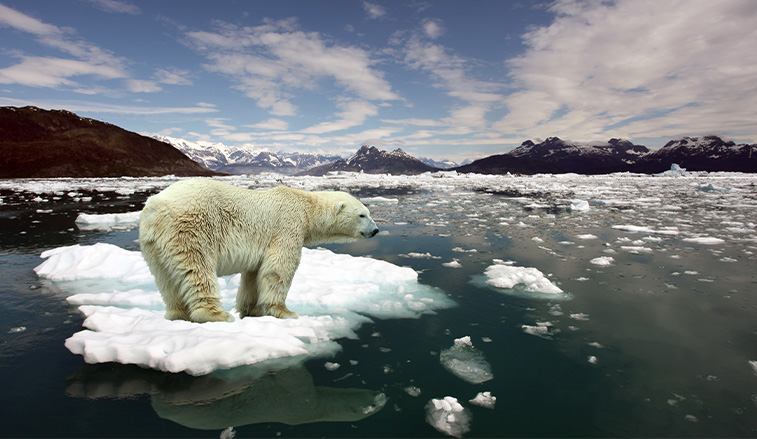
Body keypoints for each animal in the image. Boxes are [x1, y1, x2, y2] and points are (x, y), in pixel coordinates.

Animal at [138, 178, 378, 324]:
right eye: (362, 215)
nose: (376, 230)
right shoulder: (287, 226)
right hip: (191, 229)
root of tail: (155, 207)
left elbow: (254, 275)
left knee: (166, 280)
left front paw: (251, 310)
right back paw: (216, 314)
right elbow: (279, 268)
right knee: (197, 270)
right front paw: (285, 312)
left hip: (154, 245)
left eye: (368, 212)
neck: (306, 207)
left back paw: (177, 314)